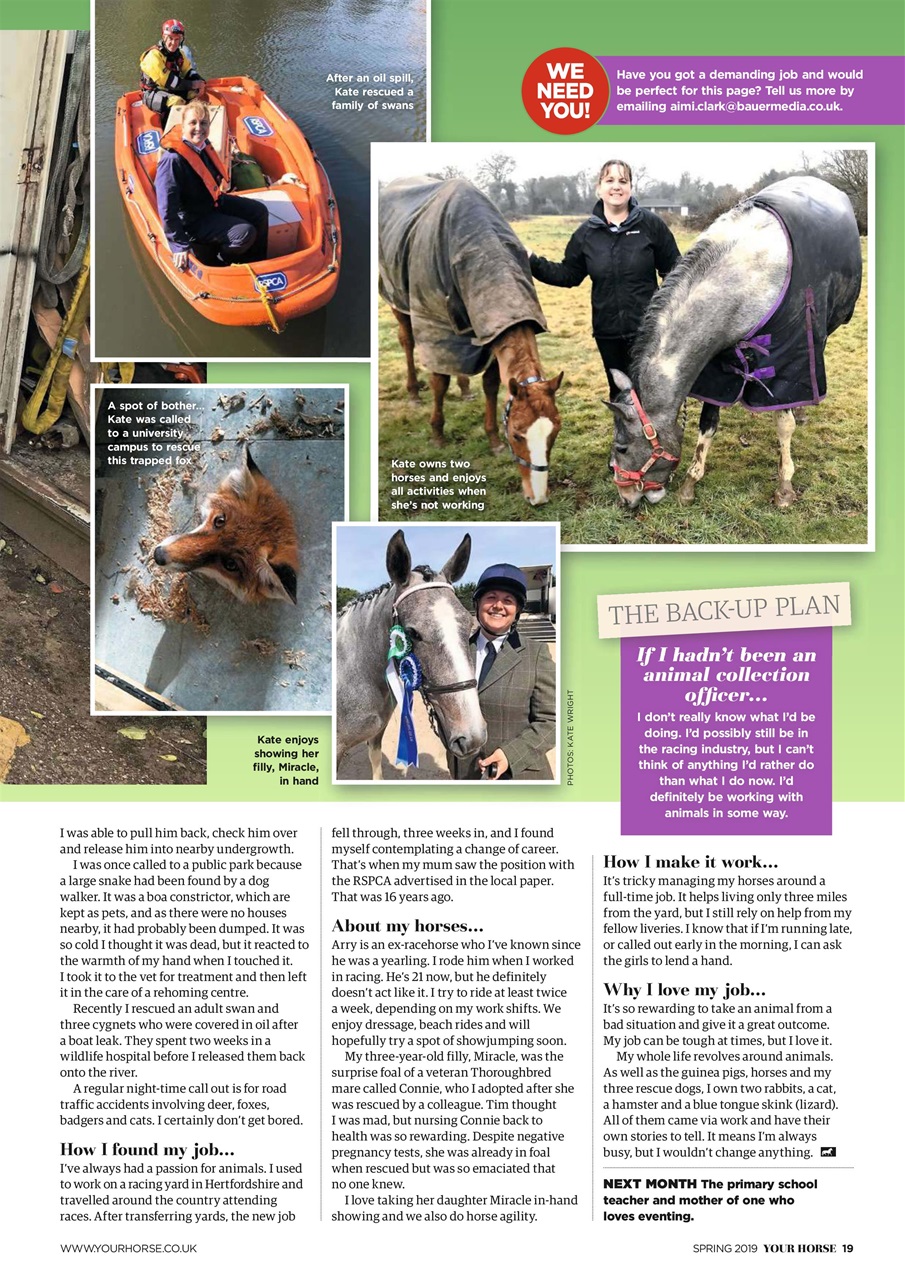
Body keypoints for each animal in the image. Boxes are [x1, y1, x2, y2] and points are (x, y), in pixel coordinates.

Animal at [379, 176, 564, 506]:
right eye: (517, 434)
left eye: (554, 432)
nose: (538, 498)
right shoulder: (435, 328)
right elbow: (439, 381)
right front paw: (437, 434)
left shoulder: (491, 332)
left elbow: (490, 385)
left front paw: (492, 439)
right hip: (399, 304)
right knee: (407, 342)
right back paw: (413, 392)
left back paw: (465, 390)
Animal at [606, 176, 863, 510]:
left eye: (622, 448)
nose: (625, 499)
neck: (747, 280)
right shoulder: (717, 367)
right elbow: (708, 423)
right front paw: (690, 484)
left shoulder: (784, 360)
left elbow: (784, 423)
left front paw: (784, 488)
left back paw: (803, 410)